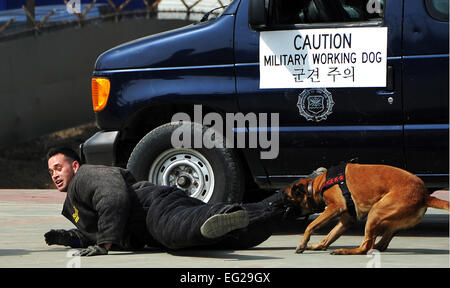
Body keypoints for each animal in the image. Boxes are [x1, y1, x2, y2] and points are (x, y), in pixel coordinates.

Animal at [284, 163, 450, 255]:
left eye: (288, 200)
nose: (284, 215)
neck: (318, 184)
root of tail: (425, 195)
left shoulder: (334, 207)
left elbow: (310, 225)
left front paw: (302, 243)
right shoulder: (346, 219)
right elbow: (330, 235)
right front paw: (318, 246)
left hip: (375, 213)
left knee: (366, 247)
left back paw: (347, 251)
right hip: (387, 219)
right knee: (379, 243)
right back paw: (376, 247)